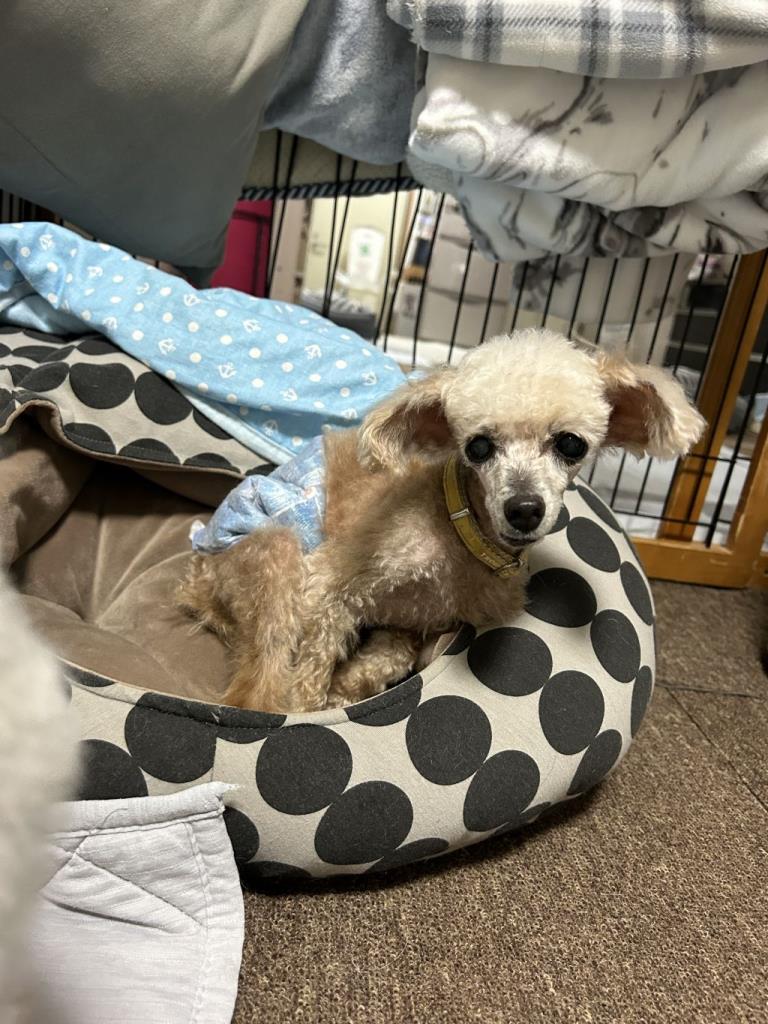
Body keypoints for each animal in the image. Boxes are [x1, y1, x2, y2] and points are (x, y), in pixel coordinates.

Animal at [178, 329, 704, 714]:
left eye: (570, 444)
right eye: (478, 447)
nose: (524, 509)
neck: (462, 538)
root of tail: (194, 578)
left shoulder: (411, 626)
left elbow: (390, 659)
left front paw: (345, 691)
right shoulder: (327, 591)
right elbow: (310, 671)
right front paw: (315, 707)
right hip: (276, 554)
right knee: (256, 691)